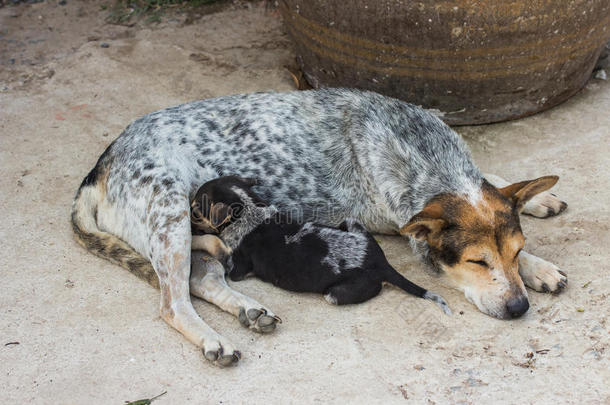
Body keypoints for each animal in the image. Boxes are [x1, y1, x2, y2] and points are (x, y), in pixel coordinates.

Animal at [190, 176, 452, 312]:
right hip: (350, 222)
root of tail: (382, 264)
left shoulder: (238, 269)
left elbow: (221, 249)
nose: (188, 221)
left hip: (333, 294)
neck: (249, 210)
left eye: (195, 210)